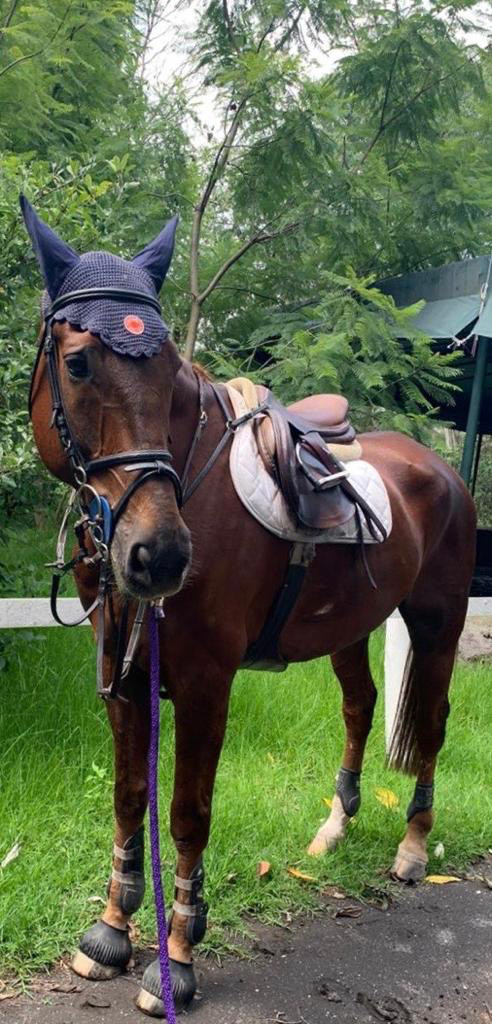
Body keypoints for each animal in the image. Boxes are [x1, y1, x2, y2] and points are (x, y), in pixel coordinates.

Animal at [22, 196, 476, 1017]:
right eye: (77, 363)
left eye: (167, 370)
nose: (161, 555)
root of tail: (440, 470)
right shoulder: (123, 676)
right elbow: (129, 796)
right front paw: (109, 932)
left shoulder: (207, 683)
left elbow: (187, 813)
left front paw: (176, 956)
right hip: (352, 630)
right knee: (361, 706)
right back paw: (333, 829)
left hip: (437, 624)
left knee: (428, 722)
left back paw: (413, 847)